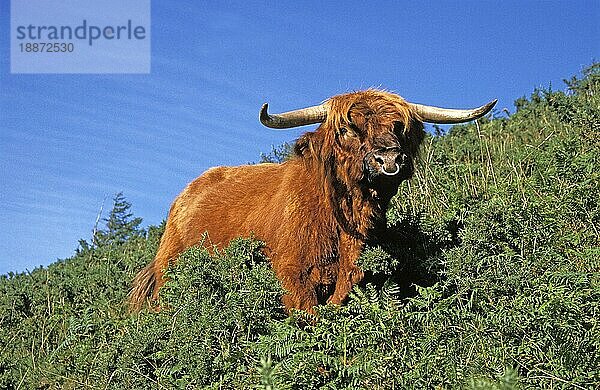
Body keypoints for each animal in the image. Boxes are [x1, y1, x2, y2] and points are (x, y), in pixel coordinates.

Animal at [129, 90, 494, 312]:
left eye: (398, 127)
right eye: (348, 129)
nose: (389, 158)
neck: (343, 221)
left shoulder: (351, 275)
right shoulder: (293, 275)